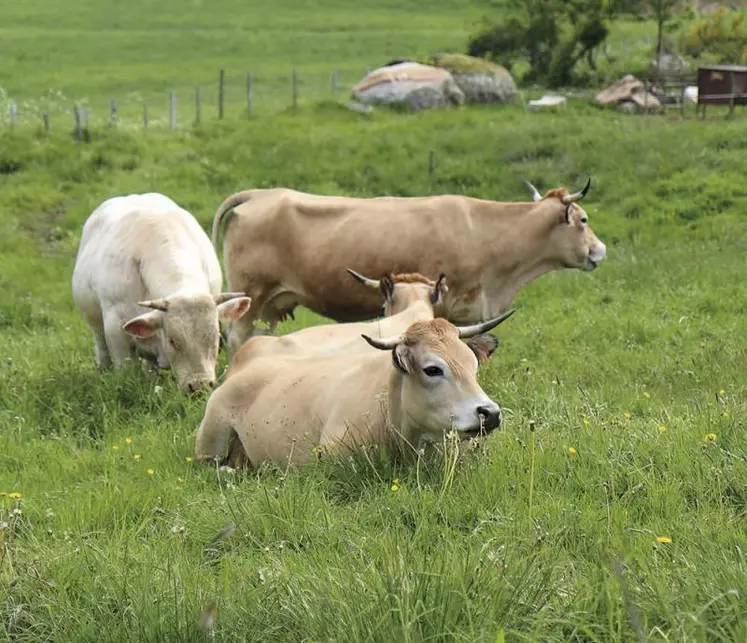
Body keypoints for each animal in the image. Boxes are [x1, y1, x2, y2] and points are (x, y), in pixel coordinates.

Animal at [73, 192, 254, 392]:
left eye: (216, 337)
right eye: (173, 341)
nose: (199, 386)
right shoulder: (115, 327)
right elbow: (125, 369)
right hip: (95, 322)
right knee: (101, 346)